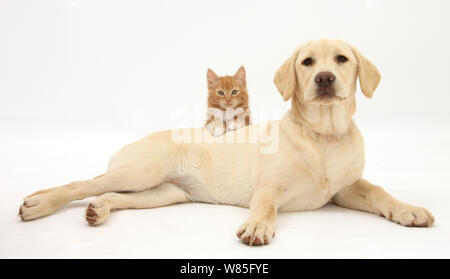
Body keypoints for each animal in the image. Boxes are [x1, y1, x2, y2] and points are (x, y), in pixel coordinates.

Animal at [19, 39, 434, 247]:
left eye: (342, 59)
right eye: (307, 62)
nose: (325, 78)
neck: (323, 136)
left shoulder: (346, 189)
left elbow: (379, 192)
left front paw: (408, 210)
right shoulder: (269, 186)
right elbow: (265, 205)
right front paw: (257, 227)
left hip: (163, 193)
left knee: (109, 195)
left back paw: (99, 210)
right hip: (141, 171)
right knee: (80, 184)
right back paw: (39, 202)